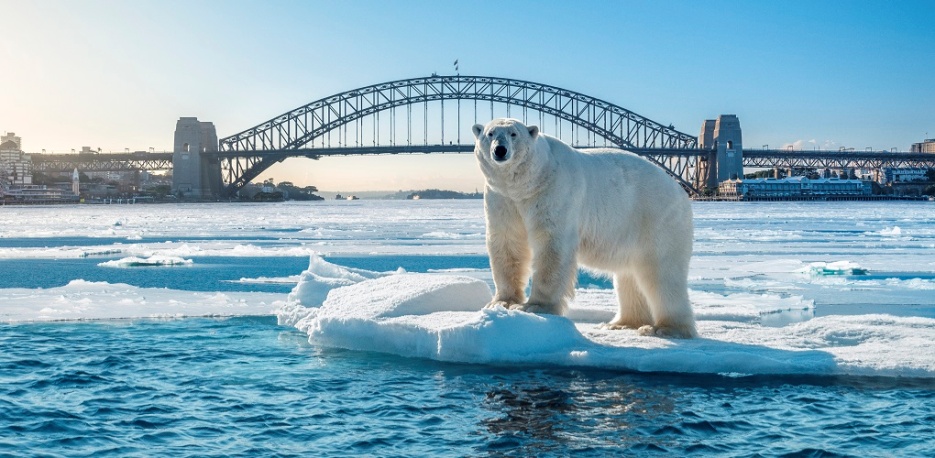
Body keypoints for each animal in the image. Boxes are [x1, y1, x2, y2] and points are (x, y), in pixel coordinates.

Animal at [472, 118, 696, 338]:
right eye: (490, 133)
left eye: (513, 134)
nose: (500, 150)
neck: (529, 183)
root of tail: (680, 191)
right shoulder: (503, 198)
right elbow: (507, 242)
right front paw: (502, 302)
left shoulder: (553, 192)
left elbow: (551, 246)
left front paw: (534, 306)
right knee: (630, 274)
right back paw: (622, 323)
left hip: (656, 218)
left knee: (661, 272)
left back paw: (666, 328)